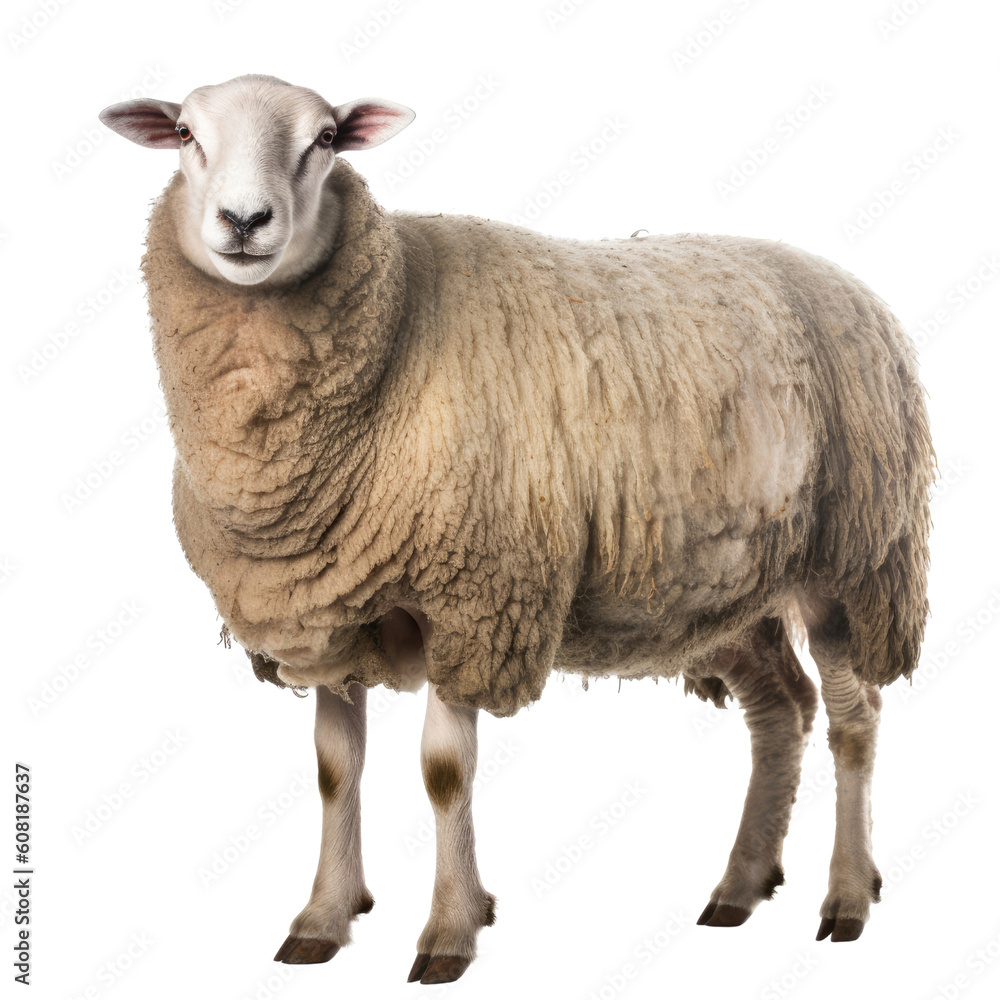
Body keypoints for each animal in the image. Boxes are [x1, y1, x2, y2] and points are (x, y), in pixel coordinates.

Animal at [99, 73, 933, 985]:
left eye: (324, 139)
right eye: (185, 132)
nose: (245, 221)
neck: (394, 336)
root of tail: (850, 285)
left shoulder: (477, 597)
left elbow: (442, 773)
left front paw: (449, 932)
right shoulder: (325, 605)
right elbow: (332, 770)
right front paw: (323, 918)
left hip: (853, 559)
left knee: (854, 718)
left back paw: (846, 897)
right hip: (728, 582)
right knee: (782, 709)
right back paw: (740, 887)